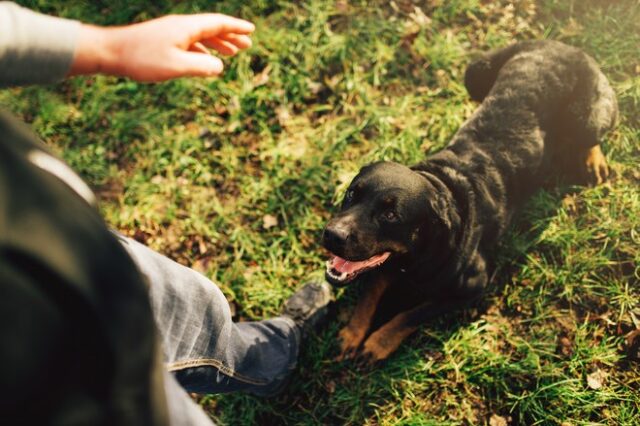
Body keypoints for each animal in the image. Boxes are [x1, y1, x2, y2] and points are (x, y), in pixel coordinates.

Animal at [322, 40, 616, 362]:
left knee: (593, 135)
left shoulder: (473, 286)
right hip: (474, 73)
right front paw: (353, 333)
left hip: (586, 120)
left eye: (390, 215)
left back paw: (593, 161)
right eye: (352, 193)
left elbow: (412, 314)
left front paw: (378, 342)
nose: (332, 234)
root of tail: (558, 44)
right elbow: (371, 291)